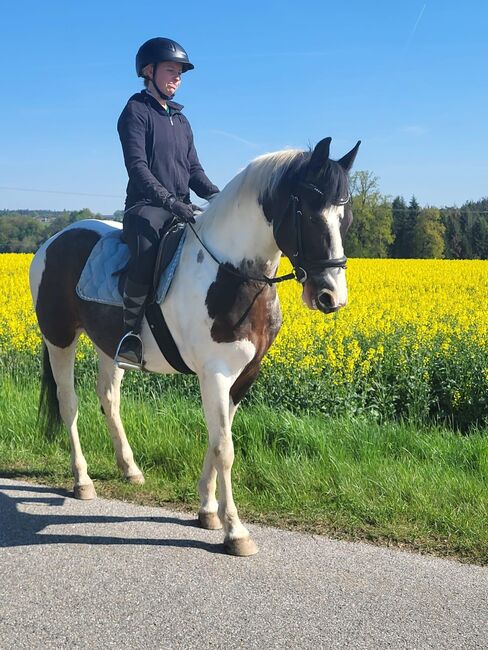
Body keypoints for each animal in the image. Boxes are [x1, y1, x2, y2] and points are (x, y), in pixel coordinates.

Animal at [29, 136, 360, 556]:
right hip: (59, 338)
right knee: (68, 403)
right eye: (312, 216)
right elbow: (224, 449)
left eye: (345, 219)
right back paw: (82, 481)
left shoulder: (243, 376)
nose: (332, 297)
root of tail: (53, 241)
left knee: (108, 398)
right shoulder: (215, 373)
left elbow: (218, 438)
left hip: (109, 346)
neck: (233, 273)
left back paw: (129, 468)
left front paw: (207, 510)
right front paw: (235, 532)